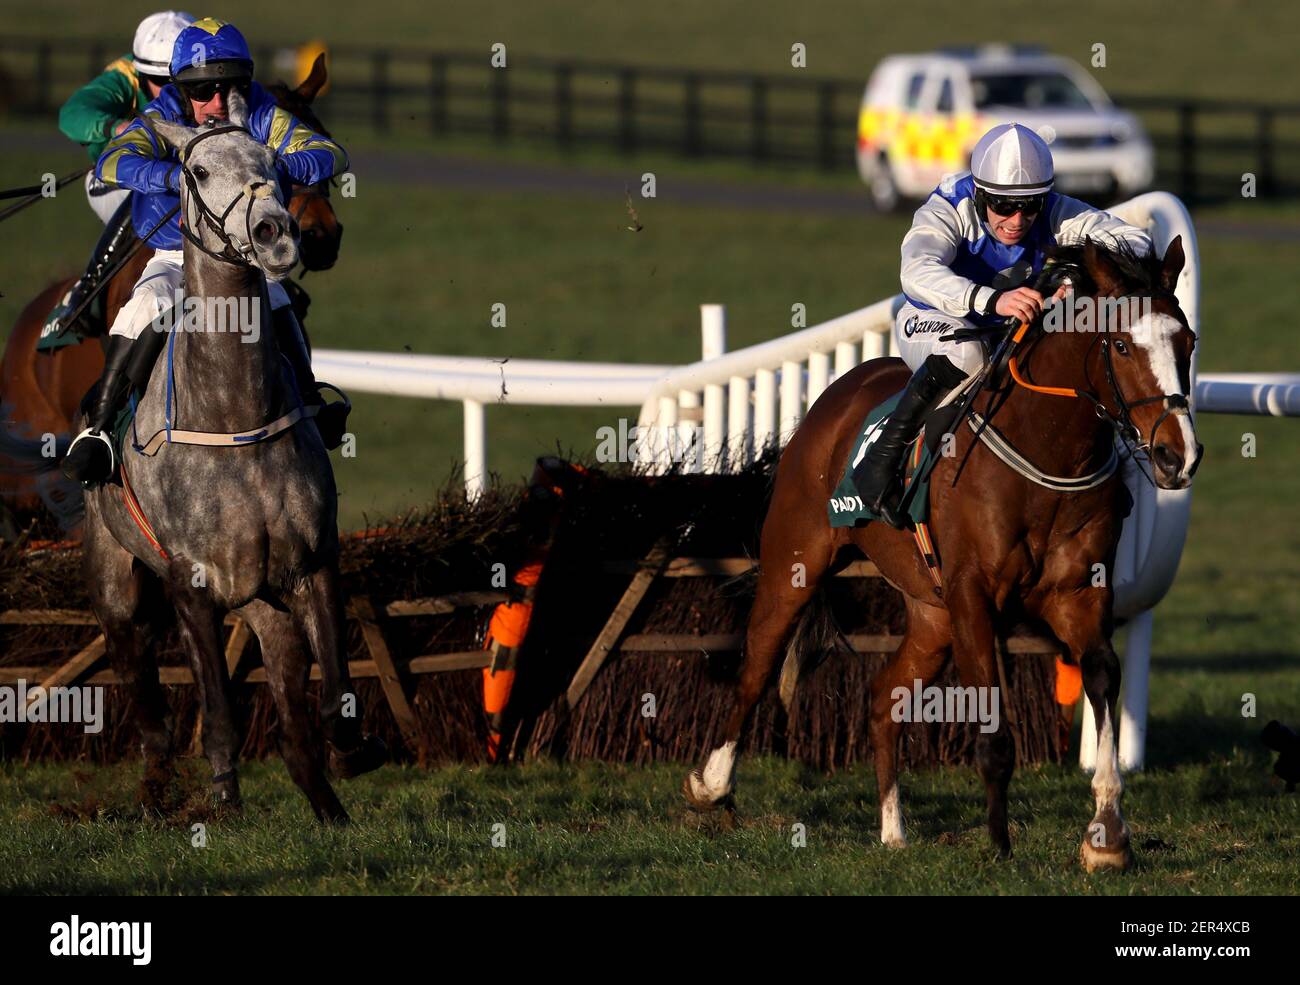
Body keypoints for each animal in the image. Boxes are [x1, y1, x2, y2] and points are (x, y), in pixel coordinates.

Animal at [79, 90, 379, 826]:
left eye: (272, 162)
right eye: (197, 171)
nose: (275, 234)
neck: (235, 417)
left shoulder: (312, 561)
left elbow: (330, 694)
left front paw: (349, 757)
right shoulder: (190, 585)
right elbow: (215, 709)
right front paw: (221, 800)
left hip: (266, 604)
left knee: (287, 698)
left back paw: (323, 801)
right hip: (116, 581)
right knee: (142, 689)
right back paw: (157, 786)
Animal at [686, 237, 1201, 873]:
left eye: (1188, 342)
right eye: (1124, 344)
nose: (1178, 455)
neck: (1048, 450)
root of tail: (836, 396)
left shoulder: (1077, 593)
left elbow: (1102, 674)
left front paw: (1106, 835)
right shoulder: (973, 596)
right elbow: (993, 729)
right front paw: (1000, 844)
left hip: (931, 616)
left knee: (883, 697)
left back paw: (893, 830)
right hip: (793, 566)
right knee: (757, 667)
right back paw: (711, 784)